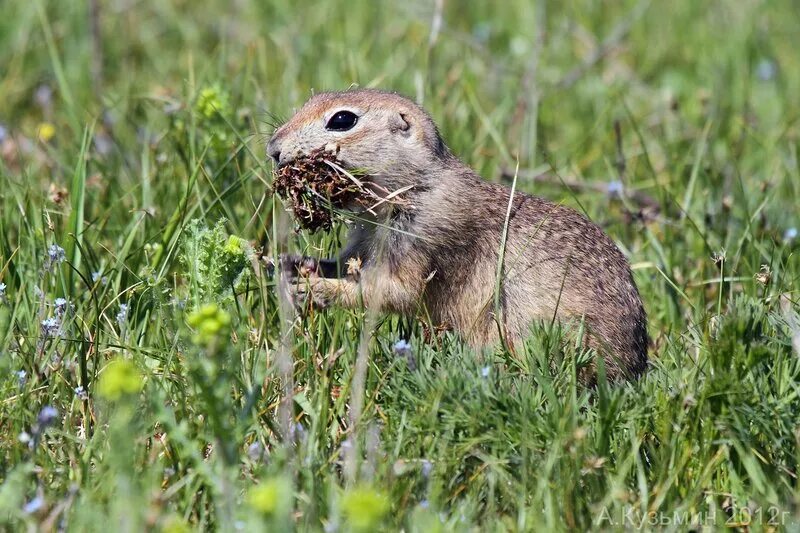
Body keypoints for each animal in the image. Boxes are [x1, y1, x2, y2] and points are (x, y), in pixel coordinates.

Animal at [268, 87, 648, 380]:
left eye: (342, 120)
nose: (273, 148)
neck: (415, 187)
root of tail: (635, 369)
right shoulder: (364, 239)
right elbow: (345, 263)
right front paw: (291, 264)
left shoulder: (427, 236)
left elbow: (393, 290)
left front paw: (316, 288)